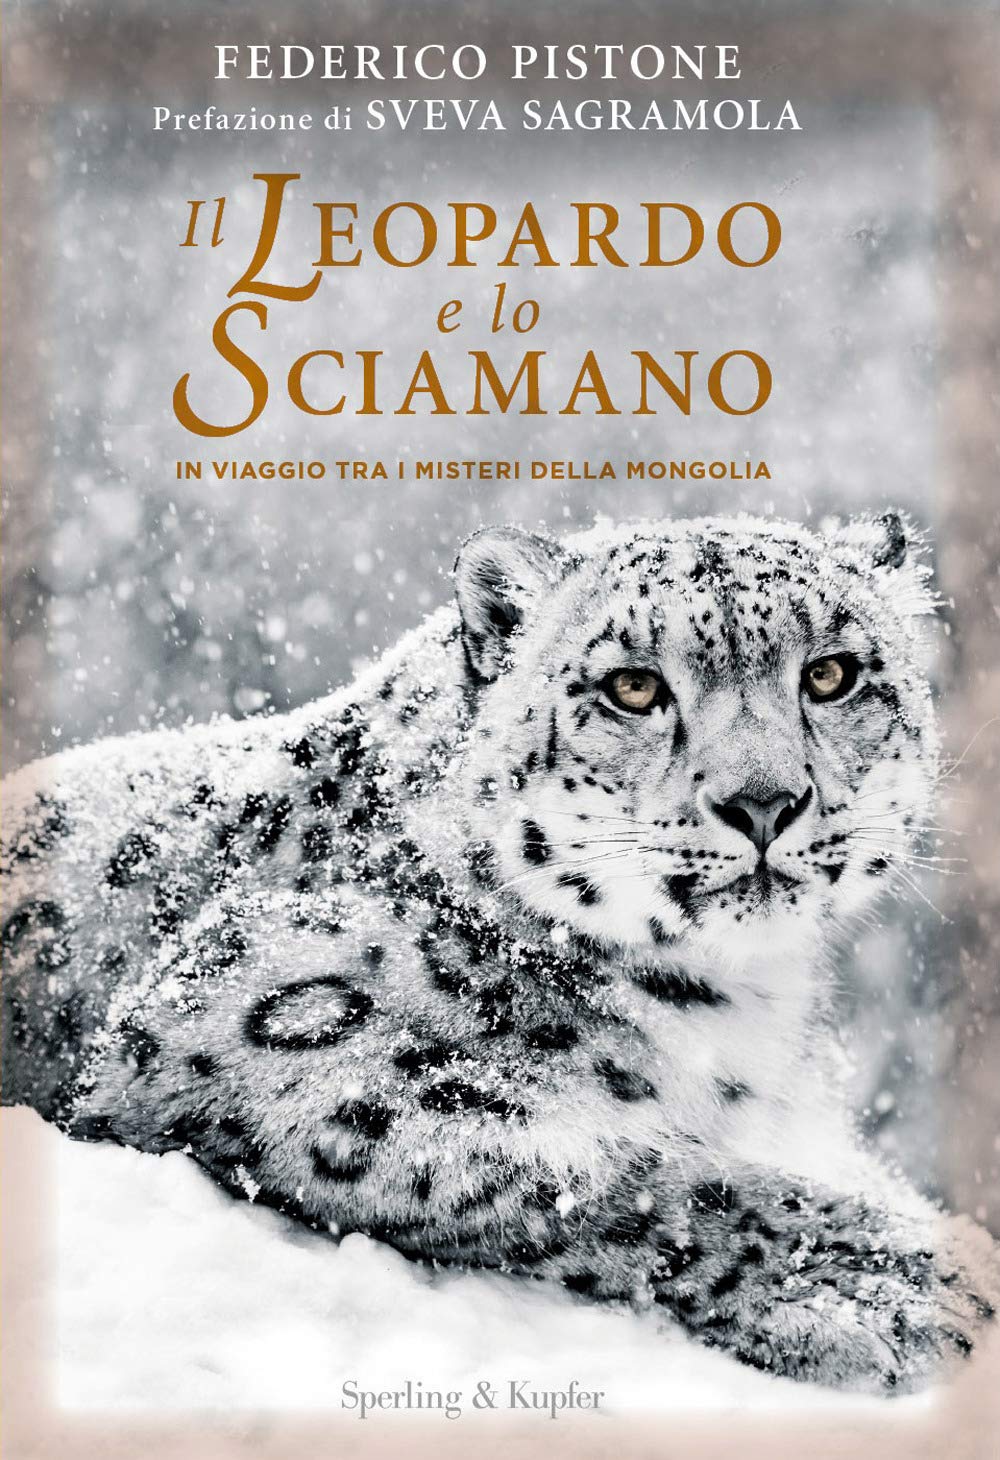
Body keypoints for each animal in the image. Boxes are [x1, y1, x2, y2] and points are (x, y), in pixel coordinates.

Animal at [2, 511, 996, 1395]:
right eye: (633, 687)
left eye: (831, 674)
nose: (763, 801)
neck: (738, 1004)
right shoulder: (241, 1029)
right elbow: (593, 1166)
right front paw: (903, 1285)